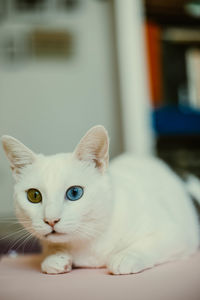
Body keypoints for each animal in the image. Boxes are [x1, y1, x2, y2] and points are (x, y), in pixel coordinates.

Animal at [1, 125, 200, 276]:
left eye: (74, 193)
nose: (51, 220)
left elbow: (152, 242)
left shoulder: (177, 234)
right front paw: (55, 257)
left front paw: (127, 256)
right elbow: (51, 249)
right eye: (34, 196)